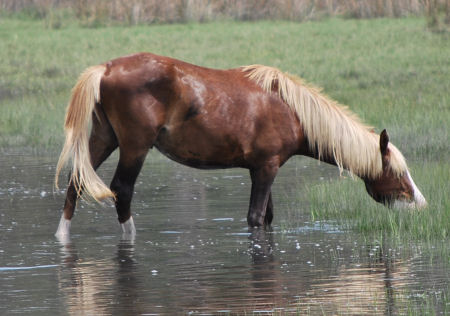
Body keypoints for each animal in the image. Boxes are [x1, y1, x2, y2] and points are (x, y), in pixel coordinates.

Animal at [54, 53, 428, 237]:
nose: (421, 206)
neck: (291, 109)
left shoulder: (261, 169)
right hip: (134, 147)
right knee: (122, 190)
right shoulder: (266, 169)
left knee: (75, 184)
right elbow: (255, 219)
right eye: (399, 173)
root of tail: (105, 69)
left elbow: (267, 218)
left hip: (103, 139)